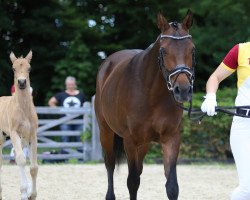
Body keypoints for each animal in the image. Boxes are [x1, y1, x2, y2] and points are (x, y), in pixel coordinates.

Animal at [0, 50, 38, 199]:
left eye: (29, 68)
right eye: (13, 68)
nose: (22, 82)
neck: (23, 109)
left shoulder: (32, 134)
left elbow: (33, 167)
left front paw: (32, 194)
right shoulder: (14, 133)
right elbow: (21, 160)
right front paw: (24, 192)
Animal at [94, 9, 194, 200]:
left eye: (192, 49)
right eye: (163, 50)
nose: (183, 90)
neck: (152, 94)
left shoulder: (171, 138)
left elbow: (172, 186)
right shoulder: (130, 141)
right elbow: (132, 182)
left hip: (144, 143)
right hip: (106, 131)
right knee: (110, 165)